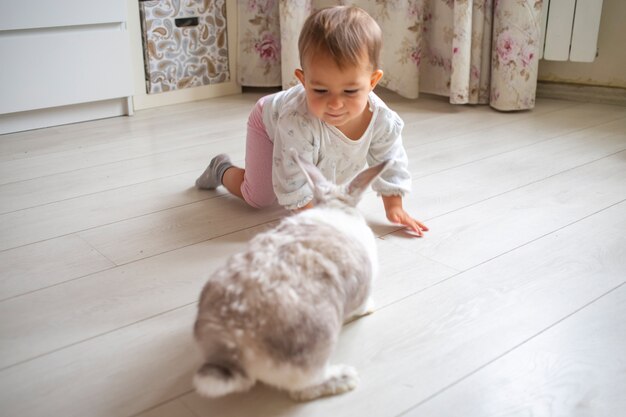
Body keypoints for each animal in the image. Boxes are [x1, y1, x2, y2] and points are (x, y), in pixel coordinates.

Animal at [193, 153, 388, 400]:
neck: (336, 207)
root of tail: (233, 346)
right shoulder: (363, 290)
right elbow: (362, 306)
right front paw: (370, 308)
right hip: (314, 348)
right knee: (303, 389)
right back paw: (345, 377)